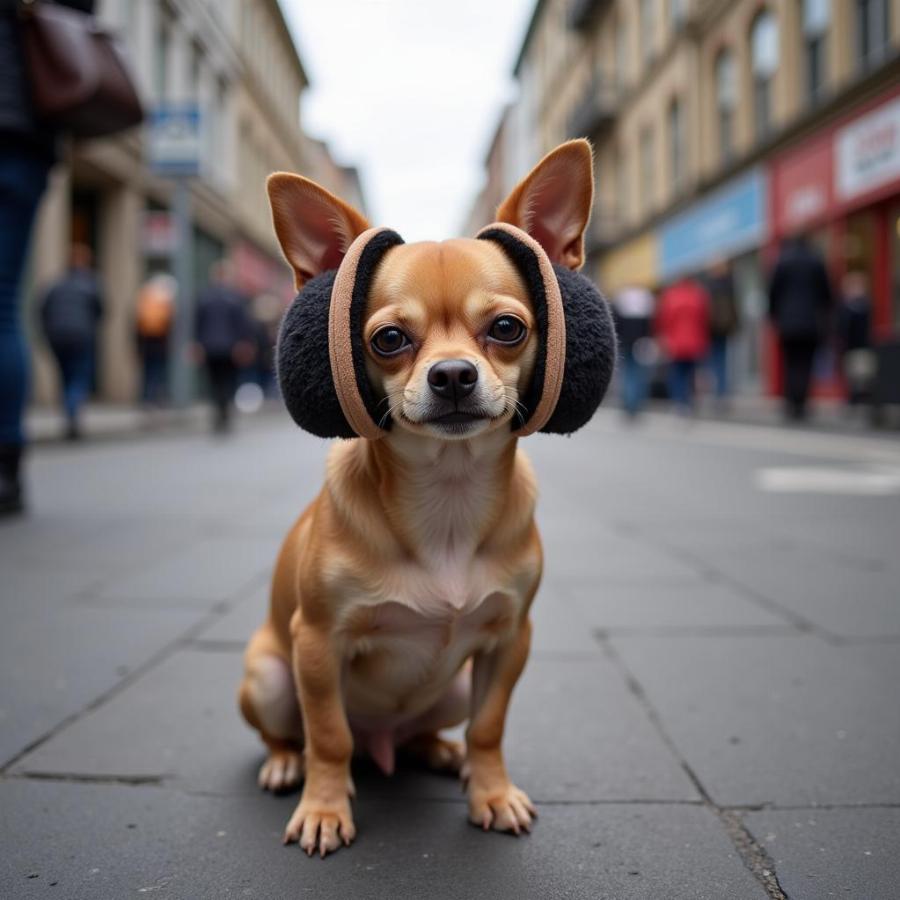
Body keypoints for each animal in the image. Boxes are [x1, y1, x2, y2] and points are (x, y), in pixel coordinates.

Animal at [239, 141, 596, 856]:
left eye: (507, 328)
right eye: (389, 340)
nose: (452, 374)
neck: (447, 496)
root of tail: (384, 743)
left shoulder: (508, 641)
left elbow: (490, 727)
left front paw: (491, 793)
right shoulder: (316, 644)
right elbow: (328, 734)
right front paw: (324, 808)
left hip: (452, 686)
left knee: (427, 731)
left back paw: (439, 752)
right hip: (269, 677)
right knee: (299, 734)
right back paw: (286, 764)